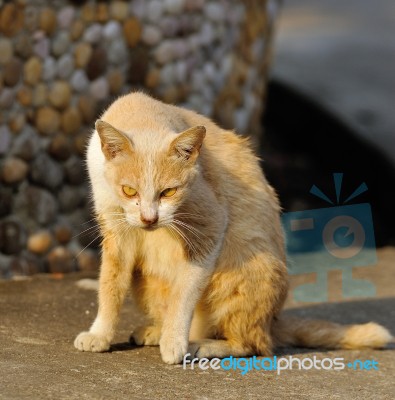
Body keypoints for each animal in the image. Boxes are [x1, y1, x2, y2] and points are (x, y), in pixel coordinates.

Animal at [74, 92, 392, 364]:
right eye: (129, 191)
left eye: (169, 192)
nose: (149, 219)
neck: (142, 114)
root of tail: (272, 322)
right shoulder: (116, 233)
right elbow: (110, 287)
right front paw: (101, 334)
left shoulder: (210, 227)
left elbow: (184, 294)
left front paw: (174, 342)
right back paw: (157, 331)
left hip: (245, 271)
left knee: (251, 344)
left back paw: (199, 344)